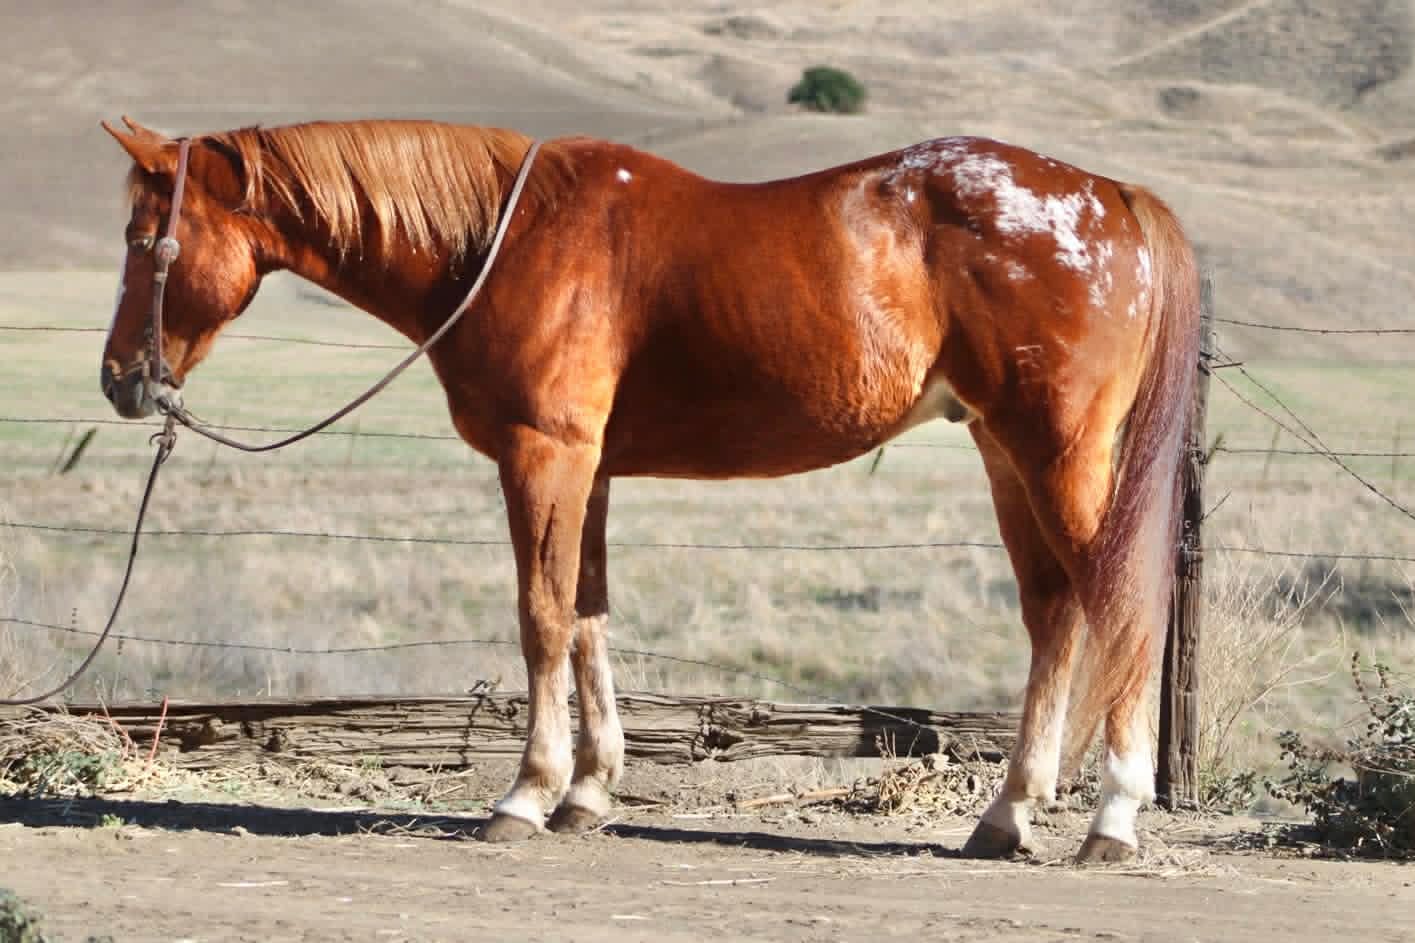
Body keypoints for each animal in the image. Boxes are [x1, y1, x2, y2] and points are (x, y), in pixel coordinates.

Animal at [99, 115, 1200, 862]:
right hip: (1005, 454)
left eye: (143, 240)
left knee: (1119, 608)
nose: (120, 380)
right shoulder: (587, 471)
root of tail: (1110, 196)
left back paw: (1110, 816)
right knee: (1054, 612)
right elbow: (588, 617)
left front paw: (526, 793)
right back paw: (1007, 812)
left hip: (1060, 455)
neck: (505, 240)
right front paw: (587, 793)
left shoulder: (543, 456)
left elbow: (542, 616)